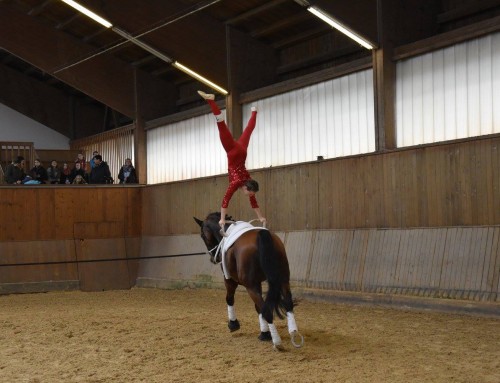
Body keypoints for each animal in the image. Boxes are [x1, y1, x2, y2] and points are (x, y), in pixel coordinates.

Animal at [193, 213, 302, 352]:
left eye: (202, 235)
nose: (214, 258)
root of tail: (262, 234)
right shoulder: (258, 283)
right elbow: (258, 308)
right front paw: (264, 333)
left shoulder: (230, 280)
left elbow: (229, 299)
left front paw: (233, 324)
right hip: (283, 279)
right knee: (287, 303)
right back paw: (293, 332)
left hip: (250, 286)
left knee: (267, 310)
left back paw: (277, 342)